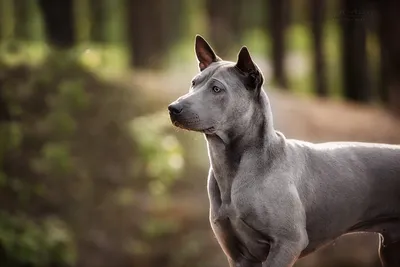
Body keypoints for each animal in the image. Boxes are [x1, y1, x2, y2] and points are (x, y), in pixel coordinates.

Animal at [167, 35, 398, 267]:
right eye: (194, 83)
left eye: (217, 89)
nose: (173, 108)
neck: (232, 167)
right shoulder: (238, 256)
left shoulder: (288, 243)